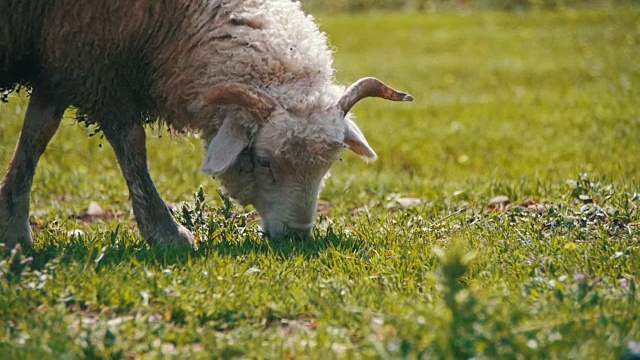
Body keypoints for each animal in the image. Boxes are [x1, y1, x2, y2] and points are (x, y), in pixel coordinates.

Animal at [0, 0, 412, 248]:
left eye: (331, 164)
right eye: (263, 161)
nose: (296, 236)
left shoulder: (61, 57)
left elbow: (36, 135)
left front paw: (13, 226)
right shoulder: (91, 57)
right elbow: (131, 144)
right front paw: (165, 232)